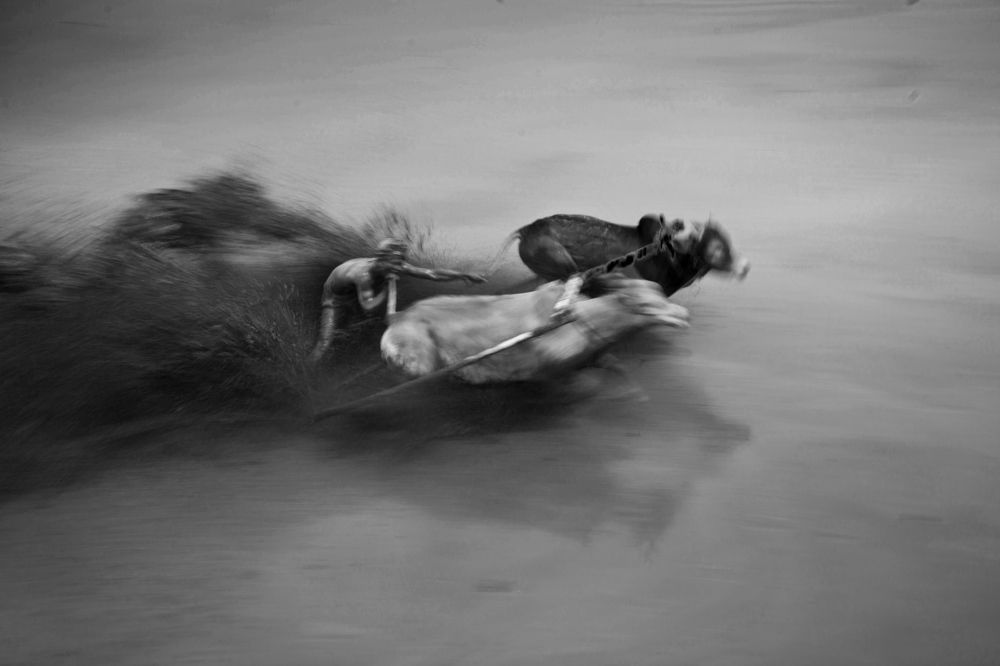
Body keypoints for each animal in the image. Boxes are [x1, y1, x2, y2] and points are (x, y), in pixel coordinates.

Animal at [380, 276, 689, 384]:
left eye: (659, 291)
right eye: (644, 305)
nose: (682, 315)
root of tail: (397, 317)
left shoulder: (596, 358)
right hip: (418, 366)